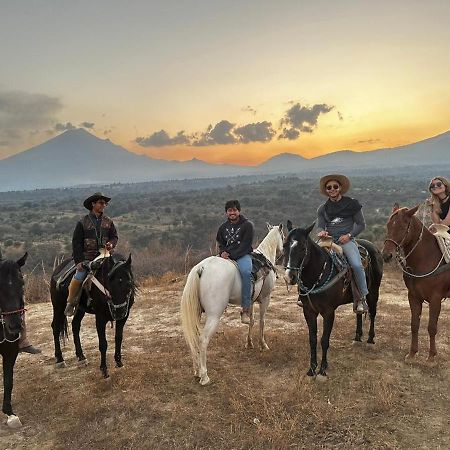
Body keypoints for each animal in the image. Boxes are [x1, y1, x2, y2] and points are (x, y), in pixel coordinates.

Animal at [181, 223, 284, 384]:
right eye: (283, 236)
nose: (283, 252)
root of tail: (201, 268)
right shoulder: (265, 299)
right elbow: (262, 322)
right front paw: (263, 345)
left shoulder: (251, 300)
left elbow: (252, 321)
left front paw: (249, 342)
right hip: (214, 315)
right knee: (203, 340)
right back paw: (204, 376)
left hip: (197, 313)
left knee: (194, 339)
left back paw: (197, 371)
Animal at [284, 223, 382, 378]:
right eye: (284, 246)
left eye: (303, 248)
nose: (289, 277)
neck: (318, 273)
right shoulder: (308, 311)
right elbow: (312, 339)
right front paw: (312, 369)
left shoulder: (329, 312)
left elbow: (324, 340)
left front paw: (323, 369)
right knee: (359, 312)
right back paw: (357, 336)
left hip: (374, 292)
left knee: (372, 313)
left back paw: (370, 339)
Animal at [382, 204, 450, 362]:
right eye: (388, 225)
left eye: (402, 227)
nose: (387, 255)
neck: (426, 257)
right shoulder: (413, 297)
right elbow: (414, 324)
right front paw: (412, 353)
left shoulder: (435, 299)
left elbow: (432, 327)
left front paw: (431, 355)